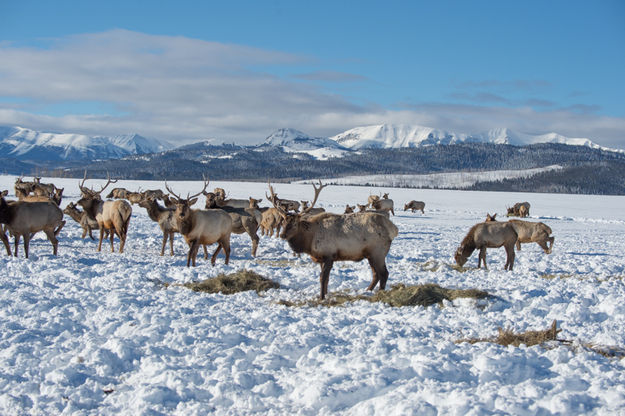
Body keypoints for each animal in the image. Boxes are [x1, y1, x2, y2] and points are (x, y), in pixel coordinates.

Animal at [266, 179, 394, 300]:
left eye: (294, 224)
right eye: (283, 222)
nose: (282, 235)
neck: (309, 241)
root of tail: (392, 228)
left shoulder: (329, 255)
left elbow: (323, 278)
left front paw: (321, 297)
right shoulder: (321, 258)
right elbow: (325, 279)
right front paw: (325, 294)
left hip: (378, 252)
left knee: (384, 273)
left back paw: (379, 294)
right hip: (370, 255)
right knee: (376, 274)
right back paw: (367, 291)